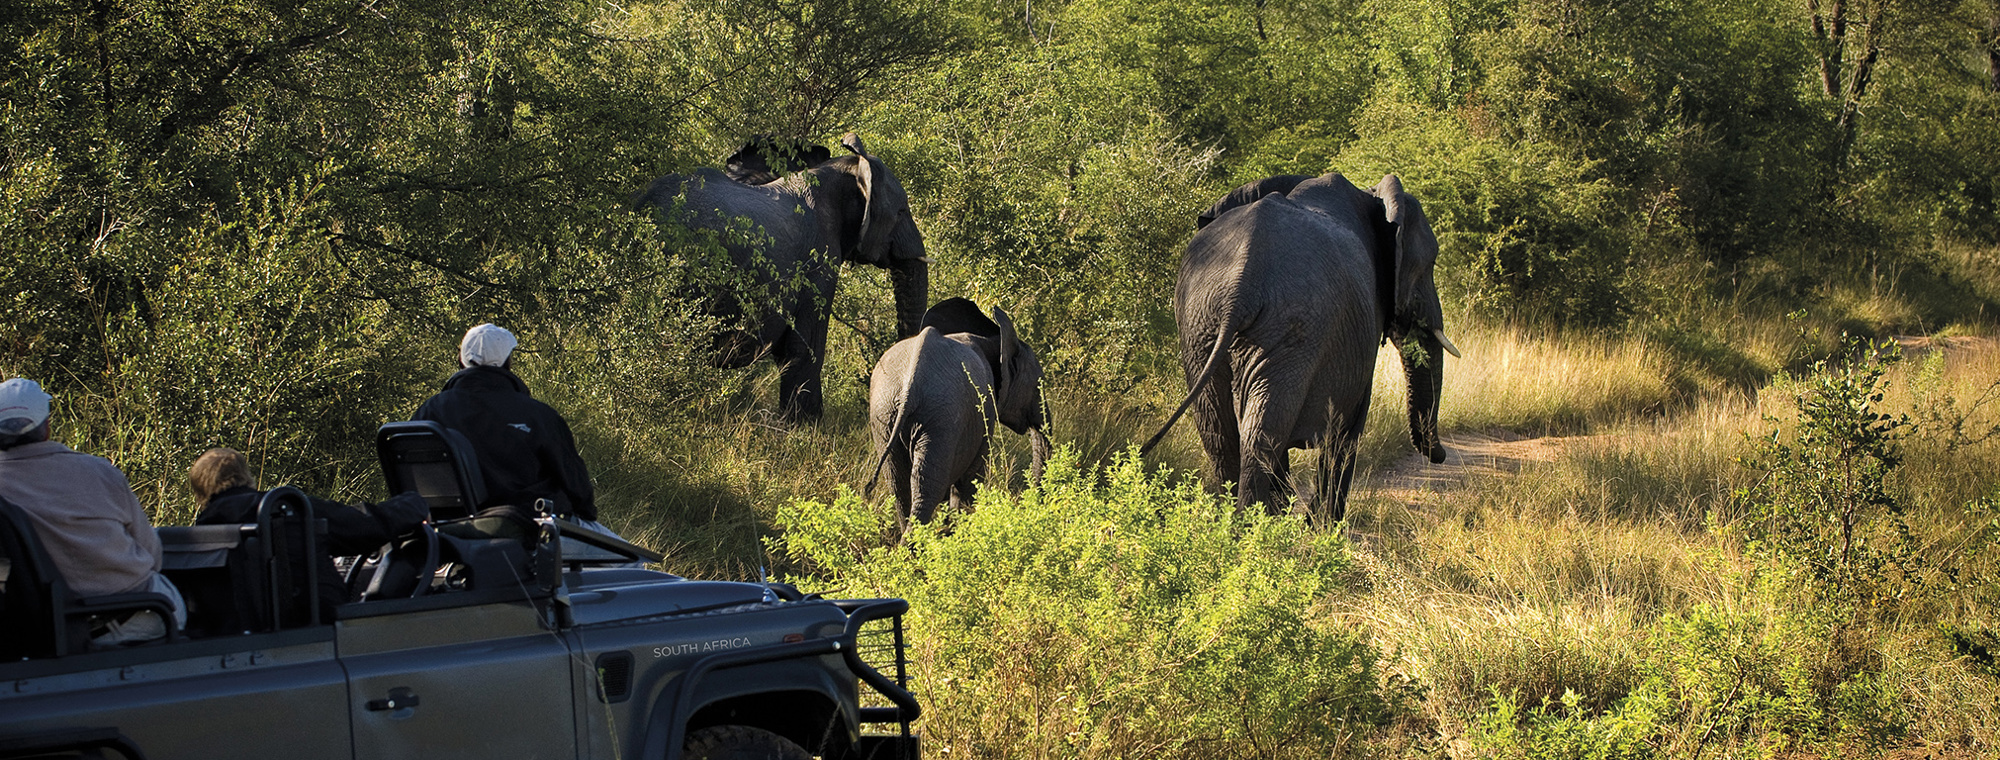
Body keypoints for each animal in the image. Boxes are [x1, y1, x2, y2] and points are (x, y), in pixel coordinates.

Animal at [867, 298, 1051, 530]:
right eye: (1037, 387)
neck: (993, 338)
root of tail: (909, 389)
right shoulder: (984, 412)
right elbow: (971, 478)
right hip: (940, 419)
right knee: (926, 488)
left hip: (885, 417)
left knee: (900, 486)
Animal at [1140, 172, 1461, 523]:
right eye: (1430, 264)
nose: (1441, 456)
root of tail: (1241, 285)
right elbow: (1349, 425)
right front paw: (1324, 526)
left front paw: (1296, 515)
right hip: (1289, 328)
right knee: (1262, 432)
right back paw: (1256, 527)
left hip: (1201, 327)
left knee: (1221, 431)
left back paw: (1245, 522)